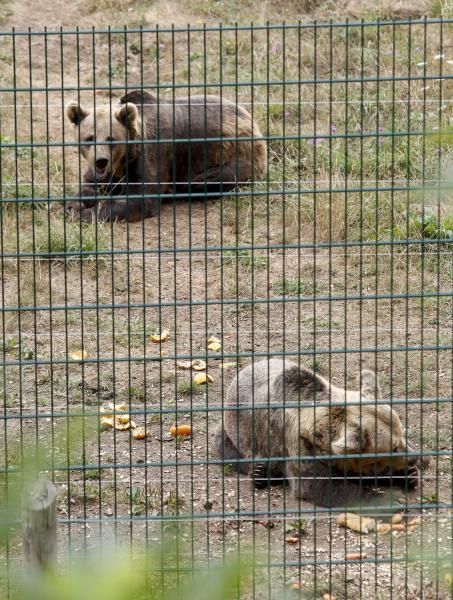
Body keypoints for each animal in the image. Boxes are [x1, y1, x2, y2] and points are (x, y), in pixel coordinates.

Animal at [65, 92, 266, 224]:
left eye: (111, 138)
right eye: (89, 138)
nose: (101, 160)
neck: (122, 161)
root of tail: (252, 121)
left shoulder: (151, 155)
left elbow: (139, 199)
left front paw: (87, 213)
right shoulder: (106, 174)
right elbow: (90, 185)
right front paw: (74, 205)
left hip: (236, 152)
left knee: (211, 178)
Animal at [214, 358, 430, 508]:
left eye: (401, 435)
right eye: (393, 447)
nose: (413, 458)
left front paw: (408, 473)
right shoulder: (295, 444)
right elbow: (319, 486)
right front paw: (390, 500)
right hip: (232, 429)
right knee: (228, 450)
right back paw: (260, 472)